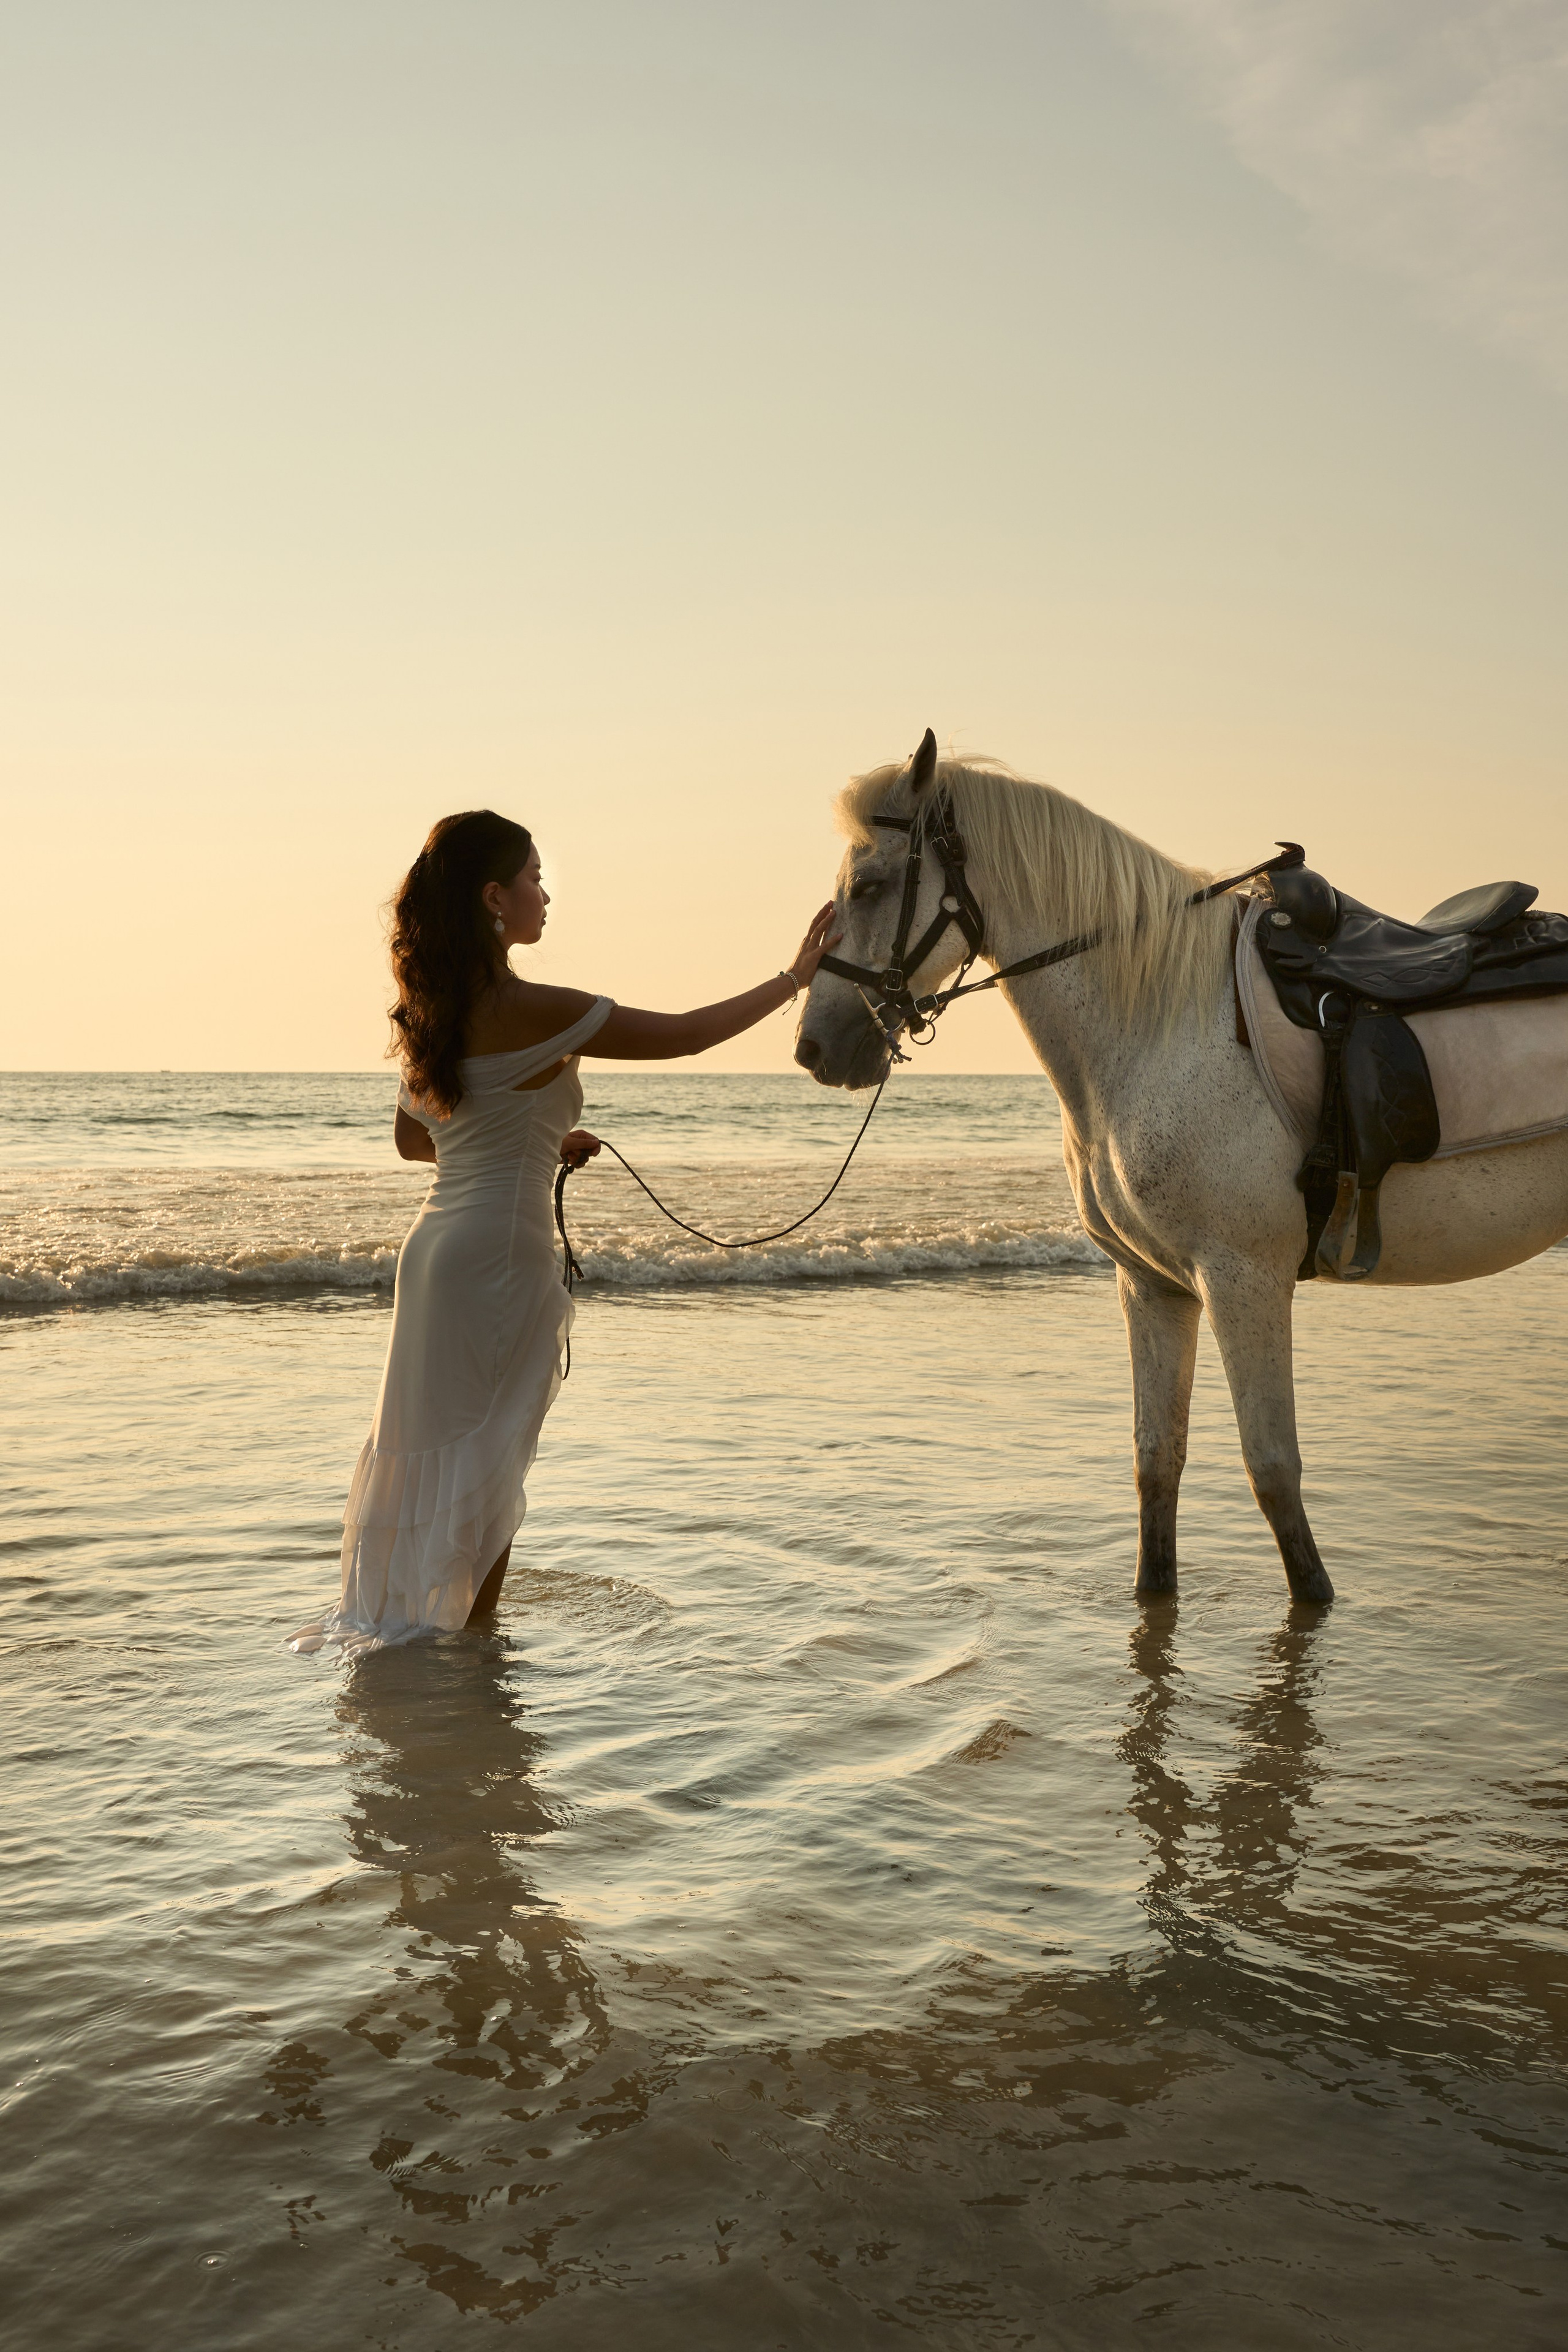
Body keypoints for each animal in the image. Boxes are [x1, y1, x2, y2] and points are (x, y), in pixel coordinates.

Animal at [794, 743, 1568, 1606]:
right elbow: (1155, 1462)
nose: (814, 1046)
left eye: (868, 886)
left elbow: (1272, 1472)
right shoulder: (1152, 1286)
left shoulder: (1241, 1280)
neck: (1163, 1023)